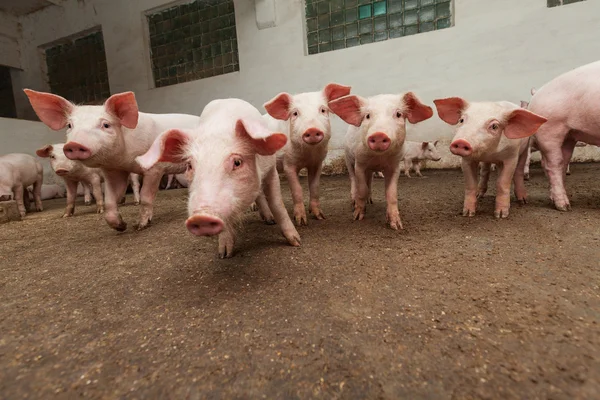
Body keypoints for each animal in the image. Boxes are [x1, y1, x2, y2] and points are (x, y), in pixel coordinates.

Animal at [24, 87, 200, 231]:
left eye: (106, 125)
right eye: (69, 125)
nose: (74, 144)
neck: (124, 160)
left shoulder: (154, 169)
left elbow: (145, 197)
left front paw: (139, 226)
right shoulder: (113, 171)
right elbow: (109, 200)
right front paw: (121, 226)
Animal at [135, 98, 300, 258]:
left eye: (237, 162)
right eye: (189, 165)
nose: (201, 217)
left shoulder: (271, 169)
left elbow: (277, 204)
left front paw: (296, 241)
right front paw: (224, 254)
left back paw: (269, 220)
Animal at [262, 82, 352, 225]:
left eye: (323, 110)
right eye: (295, 113)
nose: (312, 130)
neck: (307, 155)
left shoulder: (317, 163)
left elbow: (314, 187)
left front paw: (320, 216)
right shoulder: (288, 164)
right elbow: (297, 189)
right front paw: (301, 222)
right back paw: (270, 220)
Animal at [328, 91, 436, 228]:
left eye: (398, 114)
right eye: (367, 115)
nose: (379, 135)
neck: (378, 158)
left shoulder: (394, 166)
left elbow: (391, 194)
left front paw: (396, 225)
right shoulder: (360, 163)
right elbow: (361, 188)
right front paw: (357, 217)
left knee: (369, 181)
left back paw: (370, 201)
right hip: (348, 158)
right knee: (353, 180)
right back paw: (353, 202)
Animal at [524, 61, 600, 209]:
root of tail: (536, 95)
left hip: (569, 134)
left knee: (562, 162)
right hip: (551, 129)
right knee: (553, 164)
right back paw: (563, 206)